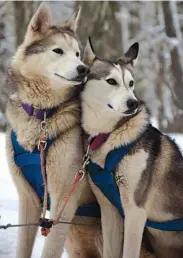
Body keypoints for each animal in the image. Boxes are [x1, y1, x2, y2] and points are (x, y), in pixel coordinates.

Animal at [5, 4, 101, 258]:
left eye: (77, 54)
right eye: (58, 51)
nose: (83, 69)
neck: (43, 115)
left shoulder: (62, 202)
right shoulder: (27, 200)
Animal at [82, 39, 183, 256]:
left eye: (131, 83)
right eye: (111, 81)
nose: (133, 103)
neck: (111, 134)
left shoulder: (135, 211)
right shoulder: (109, 210)